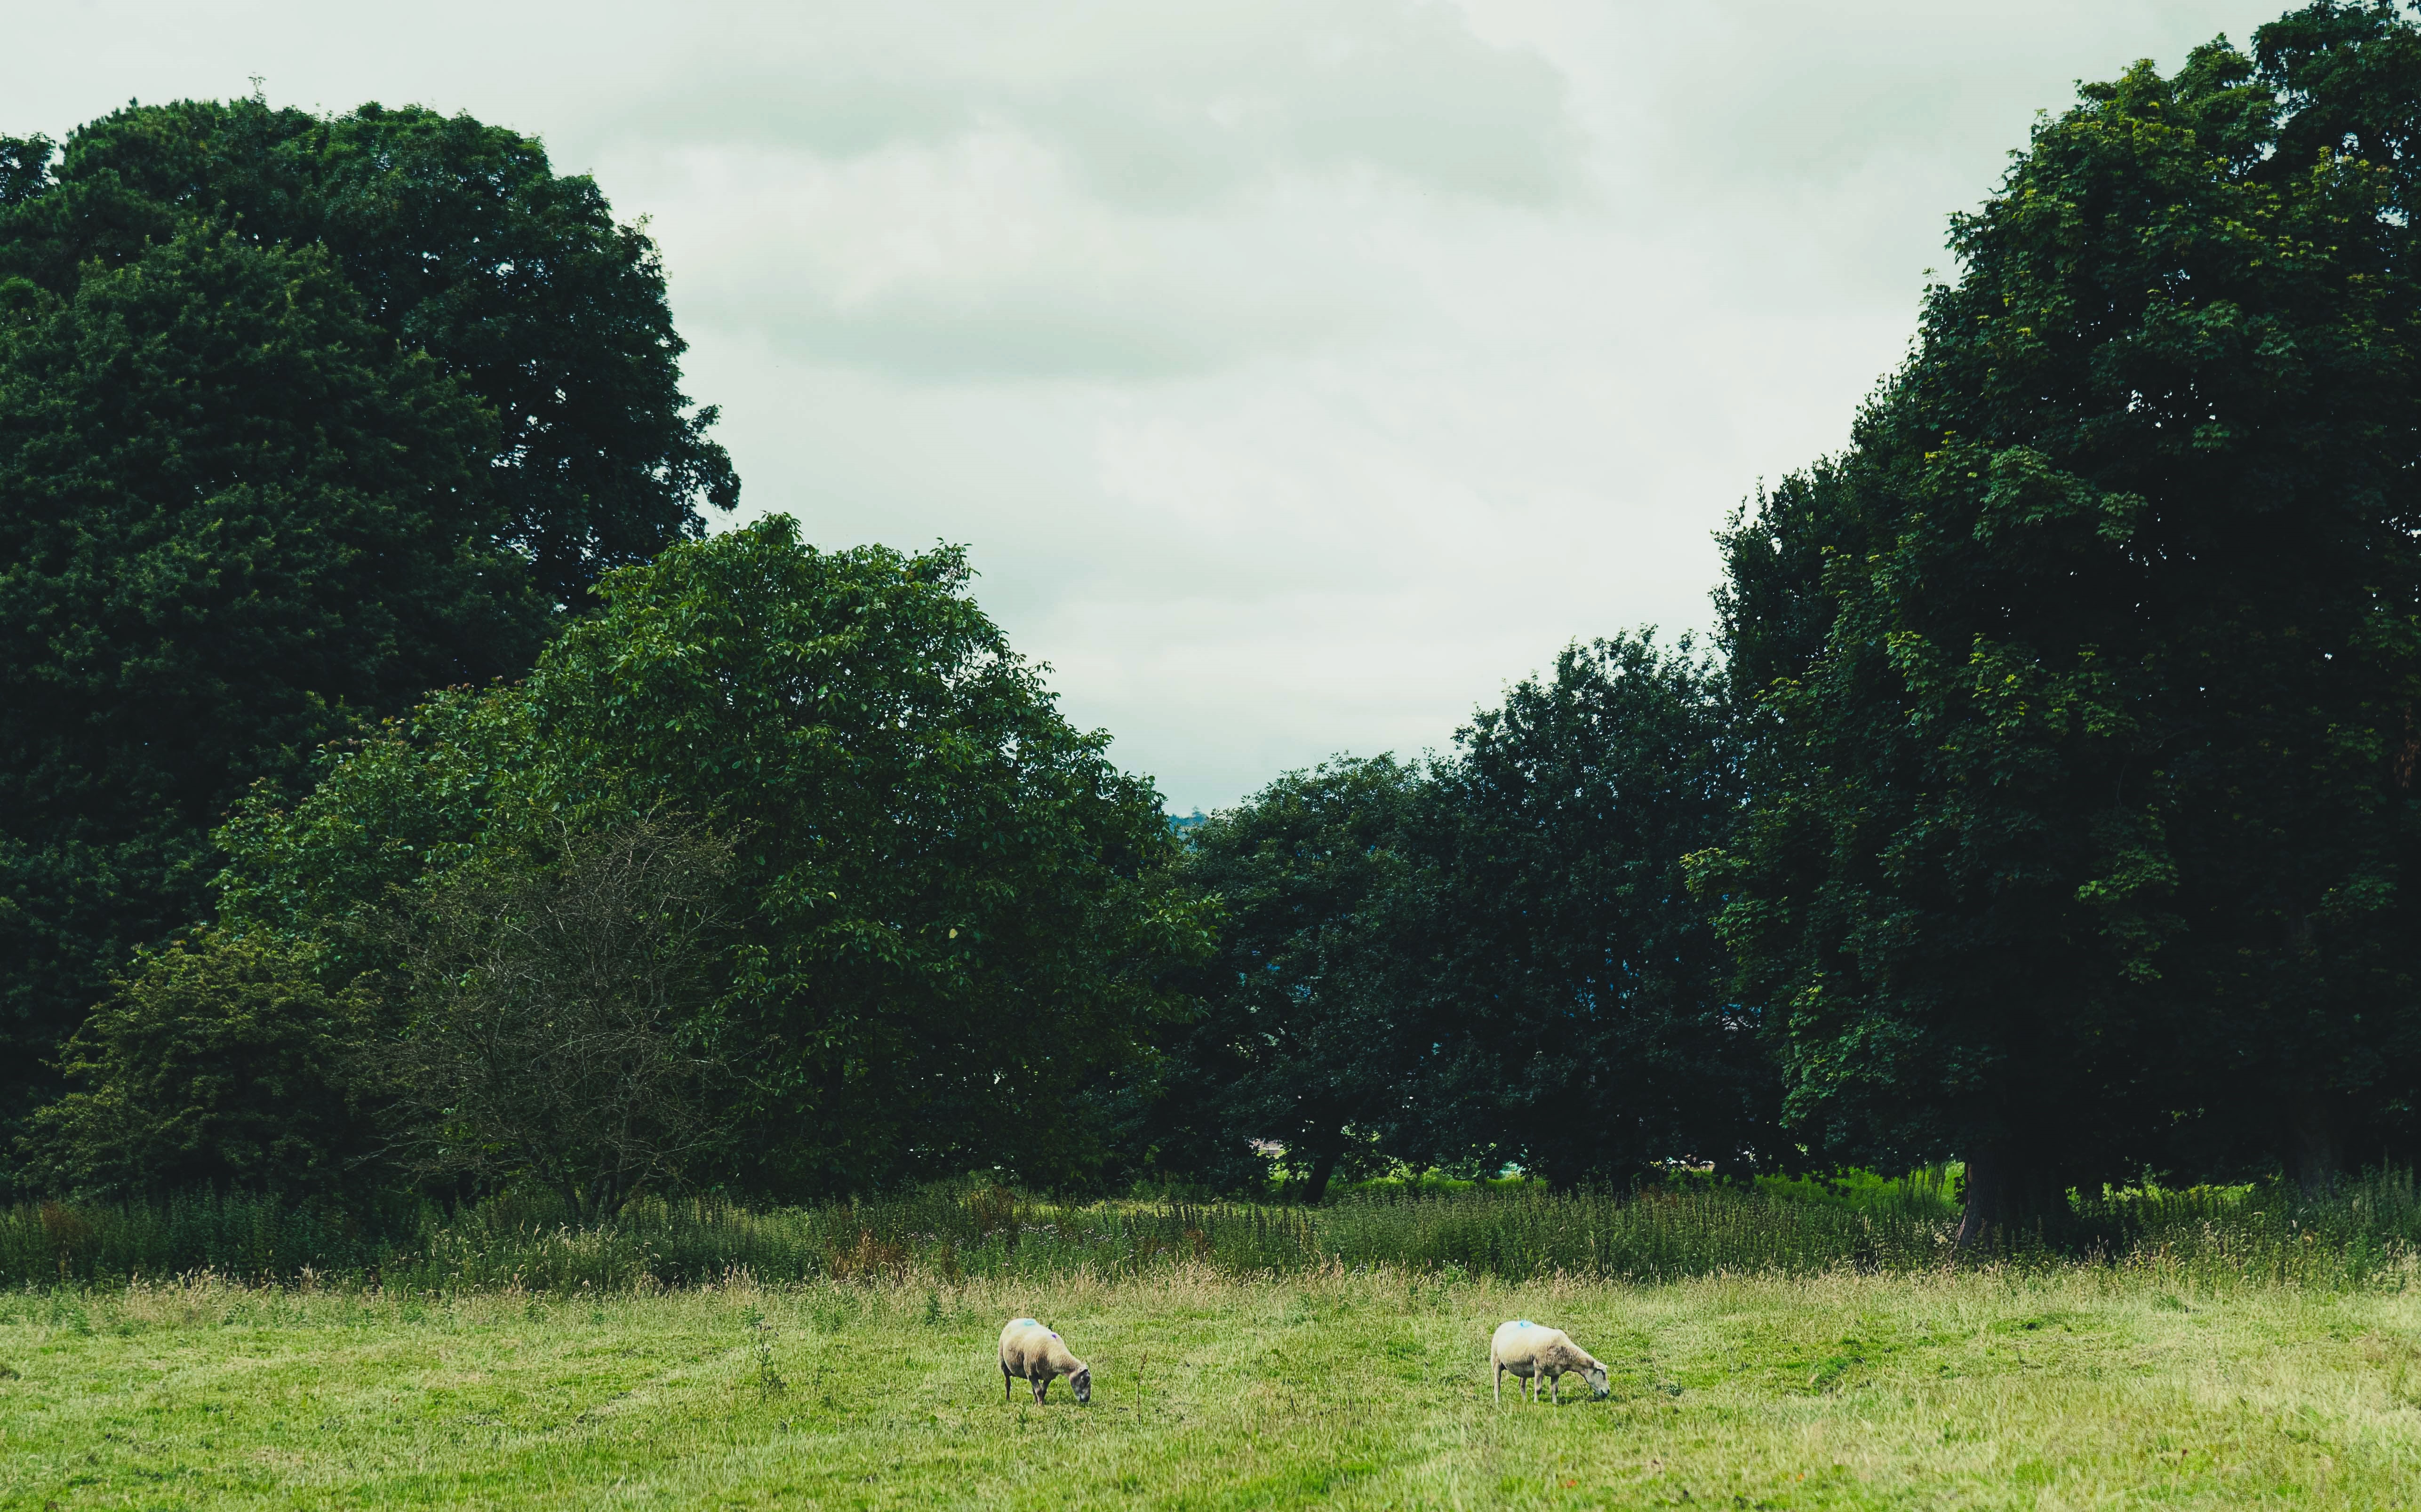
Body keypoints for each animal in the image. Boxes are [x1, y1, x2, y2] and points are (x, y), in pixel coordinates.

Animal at [999, 1318, 1091, 1405]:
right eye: (1084, 1380)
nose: (1087, 1399)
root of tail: (1017, 1320)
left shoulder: (1048, 1376)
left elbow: (1043, 1391)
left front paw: (1041, 1402)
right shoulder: (1031, 1373)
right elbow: (1039, 1391)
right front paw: (1041, 1405)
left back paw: (1035, 1402)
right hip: (1003, 1363)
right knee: (1008, 1384)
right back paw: (1008, 1399)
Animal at [1490, 1319, 1609, 1404]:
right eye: (1603, 1373)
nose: (1608, 1392)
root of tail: (1504, 1324)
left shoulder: (1556, 1372)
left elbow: (1555, 1390)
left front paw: (1555, 1404)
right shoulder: (1539, 1368)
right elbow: (1538, 1389)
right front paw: (1536, 1403)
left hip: (1523, 1367)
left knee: (1522, 1385)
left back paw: (1525, 1401)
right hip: (1496, 1361)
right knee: (1497, 1385)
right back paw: (1497, 1401)